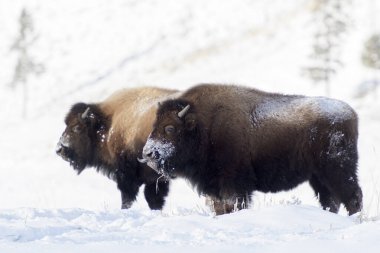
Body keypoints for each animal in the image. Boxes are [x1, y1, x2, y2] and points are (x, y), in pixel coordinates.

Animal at [141, 84, 364, 214]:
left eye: (170, 128)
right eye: (154, 125)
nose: (148, 153)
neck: (204, 126)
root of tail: (351, 114)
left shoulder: (234, 184)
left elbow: (233, 204)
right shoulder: (215, 187)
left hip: (337, 170)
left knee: (352, 196)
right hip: (318, 176)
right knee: (331, 200)